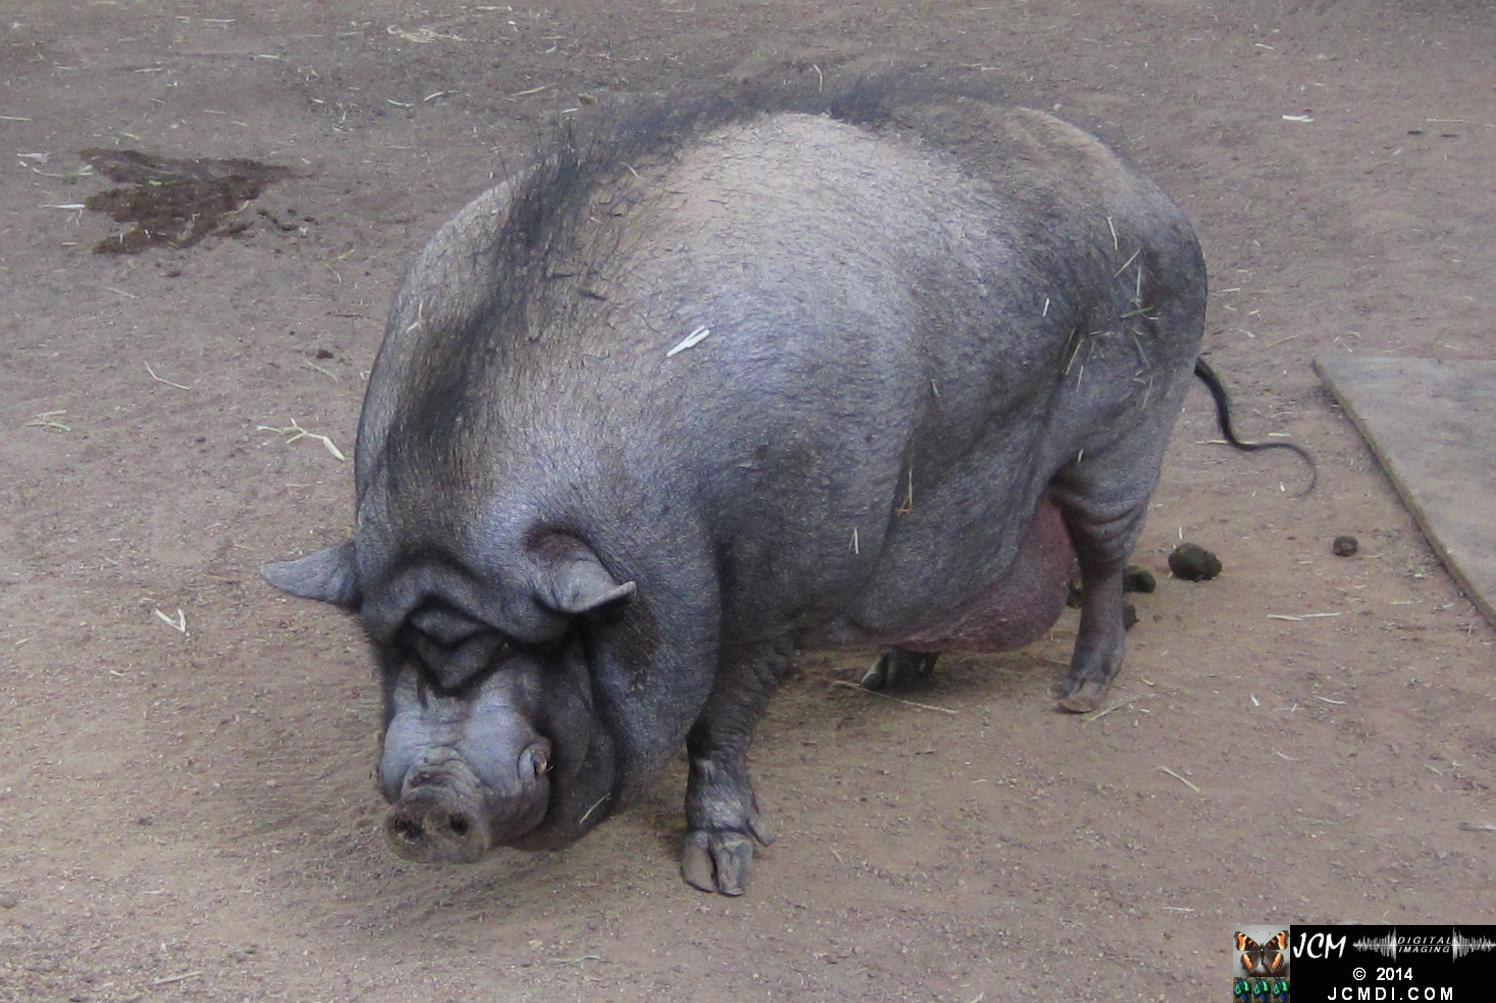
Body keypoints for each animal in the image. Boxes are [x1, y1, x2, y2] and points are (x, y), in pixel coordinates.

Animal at [262, 86, 1271, 895]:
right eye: (394, 644)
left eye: (531, 640)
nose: (431, 793)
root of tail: (1153, 194)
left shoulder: (777, 584)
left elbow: (723, 718)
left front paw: (720, 874)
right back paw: (889, 676)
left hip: (1126, 434)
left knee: (1104, 560)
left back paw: (1081, 693)